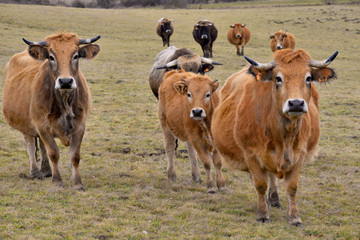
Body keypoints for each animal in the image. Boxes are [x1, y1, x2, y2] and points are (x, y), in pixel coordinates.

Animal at [2, 32, 100, 190]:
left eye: (76, 55)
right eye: (51, 56)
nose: (65, 81)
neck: (65, 102)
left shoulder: (80, 125)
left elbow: (75, 156)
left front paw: (77, 183)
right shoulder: (42, 125)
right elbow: (53, 153)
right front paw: (57, 181)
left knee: (41, 146)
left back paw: (46, 170)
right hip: (25, 124)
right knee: (30, 145)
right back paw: (36, 172)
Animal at [211, 48, 338, 225]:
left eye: (308, 78)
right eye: (278, 78)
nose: (296, 103)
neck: (283, 137)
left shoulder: (299, 154)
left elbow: (292, 187)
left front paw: (294, 216)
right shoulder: (251, 155)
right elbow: (260, 185)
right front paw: (263, 213)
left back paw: (274, 198)